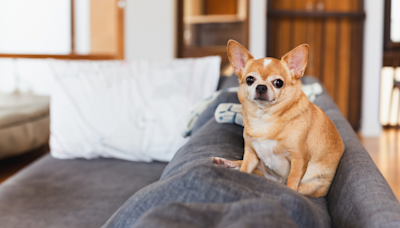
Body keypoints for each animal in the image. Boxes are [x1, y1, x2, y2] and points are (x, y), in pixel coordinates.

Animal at [212, 40, 344, 197]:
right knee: (241, 163)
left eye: (278, 83)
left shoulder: (298, 159)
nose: (261, 87)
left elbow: (292, 181)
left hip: (310, 186)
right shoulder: (251, 154)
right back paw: (225, 162)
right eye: (249, 80)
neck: (264, 117)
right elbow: (244, 169)